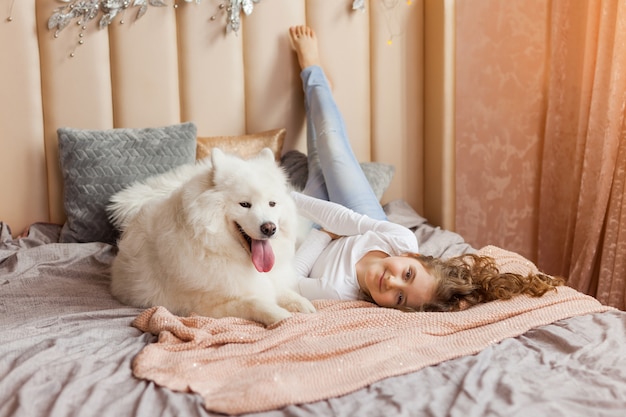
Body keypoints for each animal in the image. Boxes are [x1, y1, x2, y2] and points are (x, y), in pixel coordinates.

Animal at [108, 146, 316, 324]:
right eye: (244, 204)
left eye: (272, 204)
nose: (270, 228)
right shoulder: (207, 305)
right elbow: (254, 302)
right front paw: (282, 316)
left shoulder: (266, 280)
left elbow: (281, 290)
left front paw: (303, 304)